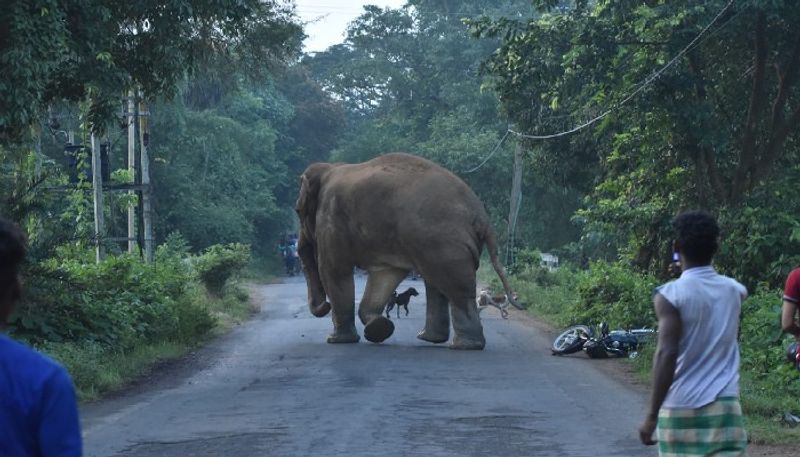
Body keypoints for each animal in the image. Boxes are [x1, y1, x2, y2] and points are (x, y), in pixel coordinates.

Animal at [296, 151, 520, 348]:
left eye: (298, 211)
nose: (324, 306)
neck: (330, 168)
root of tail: (482, 218)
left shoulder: (331, 219)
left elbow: (333, 270)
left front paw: (336, 340)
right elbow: (385, 275)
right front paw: (379, 328)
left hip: (444, 243)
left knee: (455, 288)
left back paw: (464, 345)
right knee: (438, 284)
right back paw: (431, 338)